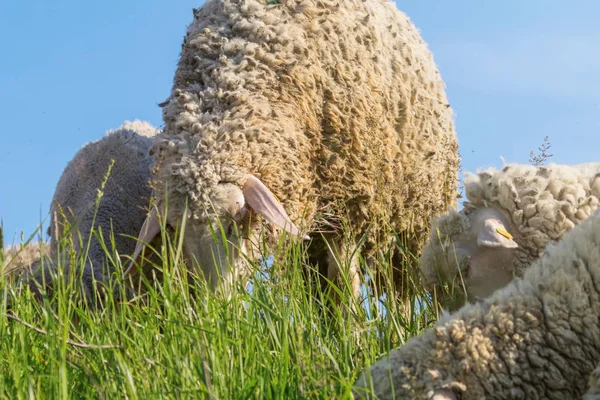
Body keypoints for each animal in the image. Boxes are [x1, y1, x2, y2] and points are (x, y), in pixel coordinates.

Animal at [127, 0, 460, 302]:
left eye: (236, 220)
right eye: (175, 233)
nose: (214, 304)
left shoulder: (348, 204)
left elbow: (344, 284)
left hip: (416, 220)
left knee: (402, 291)